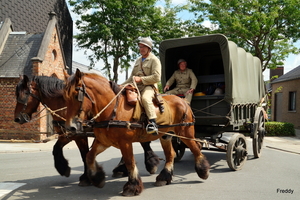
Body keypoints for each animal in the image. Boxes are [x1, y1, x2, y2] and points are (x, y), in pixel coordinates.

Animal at [14, 74, 159, 186]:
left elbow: (84, 155)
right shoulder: (67, 134)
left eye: (24, 94)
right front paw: (64, 168)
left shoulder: (79, 135)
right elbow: (56, 149)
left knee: (143, 143)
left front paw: (86, 177)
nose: (17, 118)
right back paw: (123, 168)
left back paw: (151, 163)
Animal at [63, 68, 209, 195]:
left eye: (76, 96)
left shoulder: (125, 142)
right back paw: (164, 177)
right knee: (171, 154)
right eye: (64, 97)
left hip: (185, 132)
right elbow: (89, 156)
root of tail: (183, 100)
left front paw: (132, 187)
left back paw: (203, 171)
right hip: (166, 136)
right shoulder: (104, 141)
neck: (112, 108)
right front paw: (97, 178)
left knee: (195, 148)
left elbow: (129, 161)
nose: (70, 127)